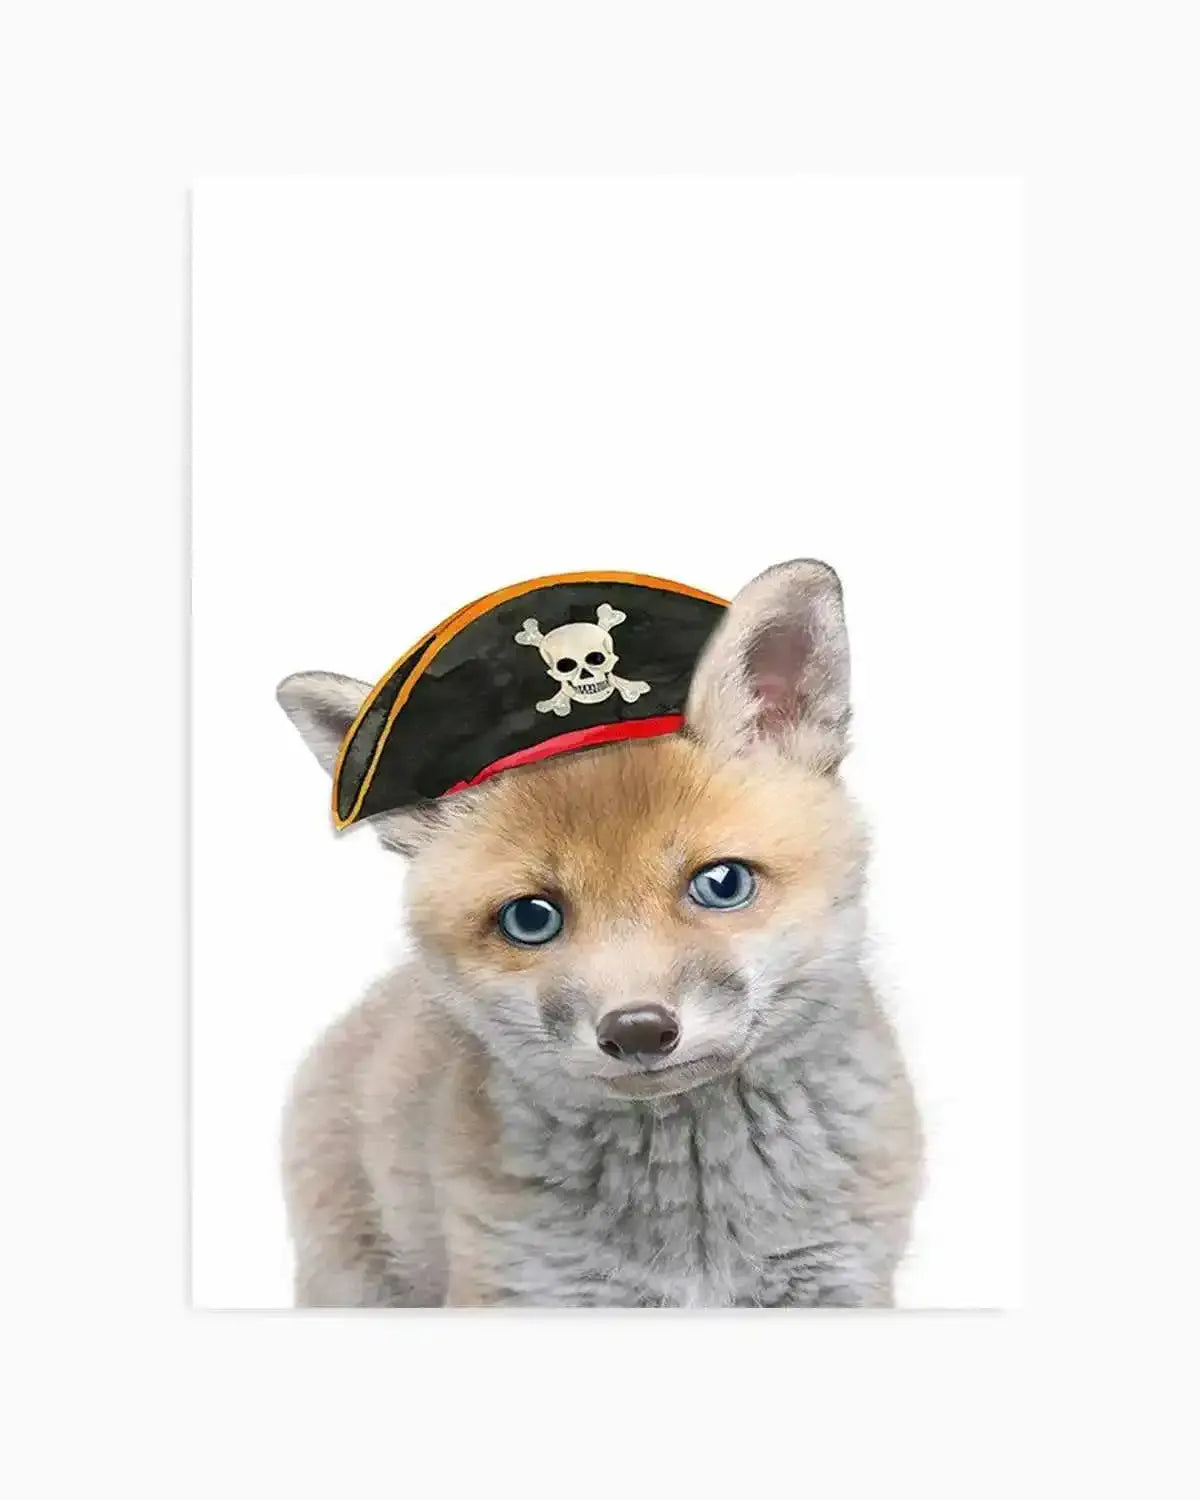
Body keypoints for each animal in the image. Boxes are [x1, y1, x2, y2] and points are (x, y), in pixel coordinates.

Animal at [275, 559, 922, 1307]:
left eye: (722, 884)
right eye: (531, 918)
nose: (638, 1031)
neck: (697, 1233)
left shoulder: (839, 1279)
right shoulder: (525, 1286)